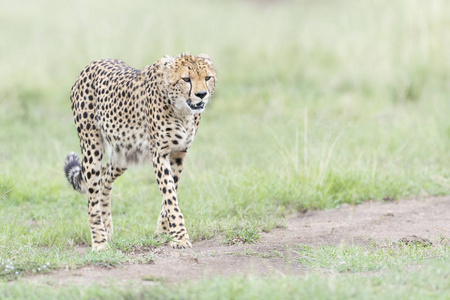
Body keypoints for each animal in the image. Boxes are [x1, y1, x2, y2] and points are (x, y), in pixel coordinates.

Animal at [64, 53, 217, 251]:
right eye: (186, 79)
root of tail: (93, 63)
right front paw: (180, 237)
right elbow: (170, 196)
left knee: (103, 179)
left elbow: (171, 192)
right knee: (92, 197)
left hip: (125, 154)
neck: (182, 110)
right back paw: (99, 241)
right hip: (92, 146)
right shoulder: (159, 153)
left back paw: (108, 228)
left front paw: (164, 232)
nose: (201, 95)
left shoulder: (179, 153)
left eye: (208, 77)